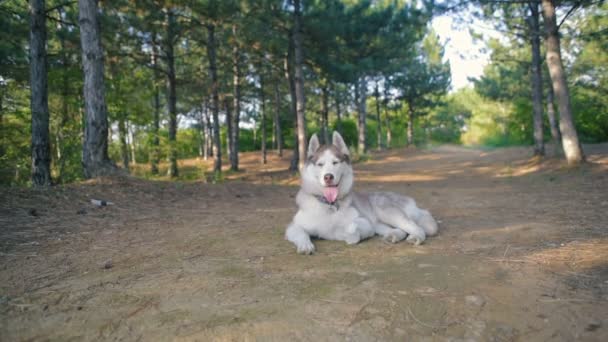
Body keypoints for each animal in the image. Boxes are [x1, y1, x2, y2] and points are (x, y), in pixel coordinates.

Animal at [284, 131, 436, 254]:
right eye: (320, 164)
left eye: (335, 162)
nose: (328, 177)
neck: (329, 205)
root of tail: (411, 201)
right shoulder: (293, 227)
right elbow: (300, 233)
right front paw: (305, 246)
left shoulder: (367, 225)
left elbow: (352, 231)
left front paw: (348, 232)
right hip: (381, 224)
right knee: (401, 230)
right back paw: (393, 235)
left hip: (387, 212)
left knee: (415, 227)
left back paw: (416, 237)